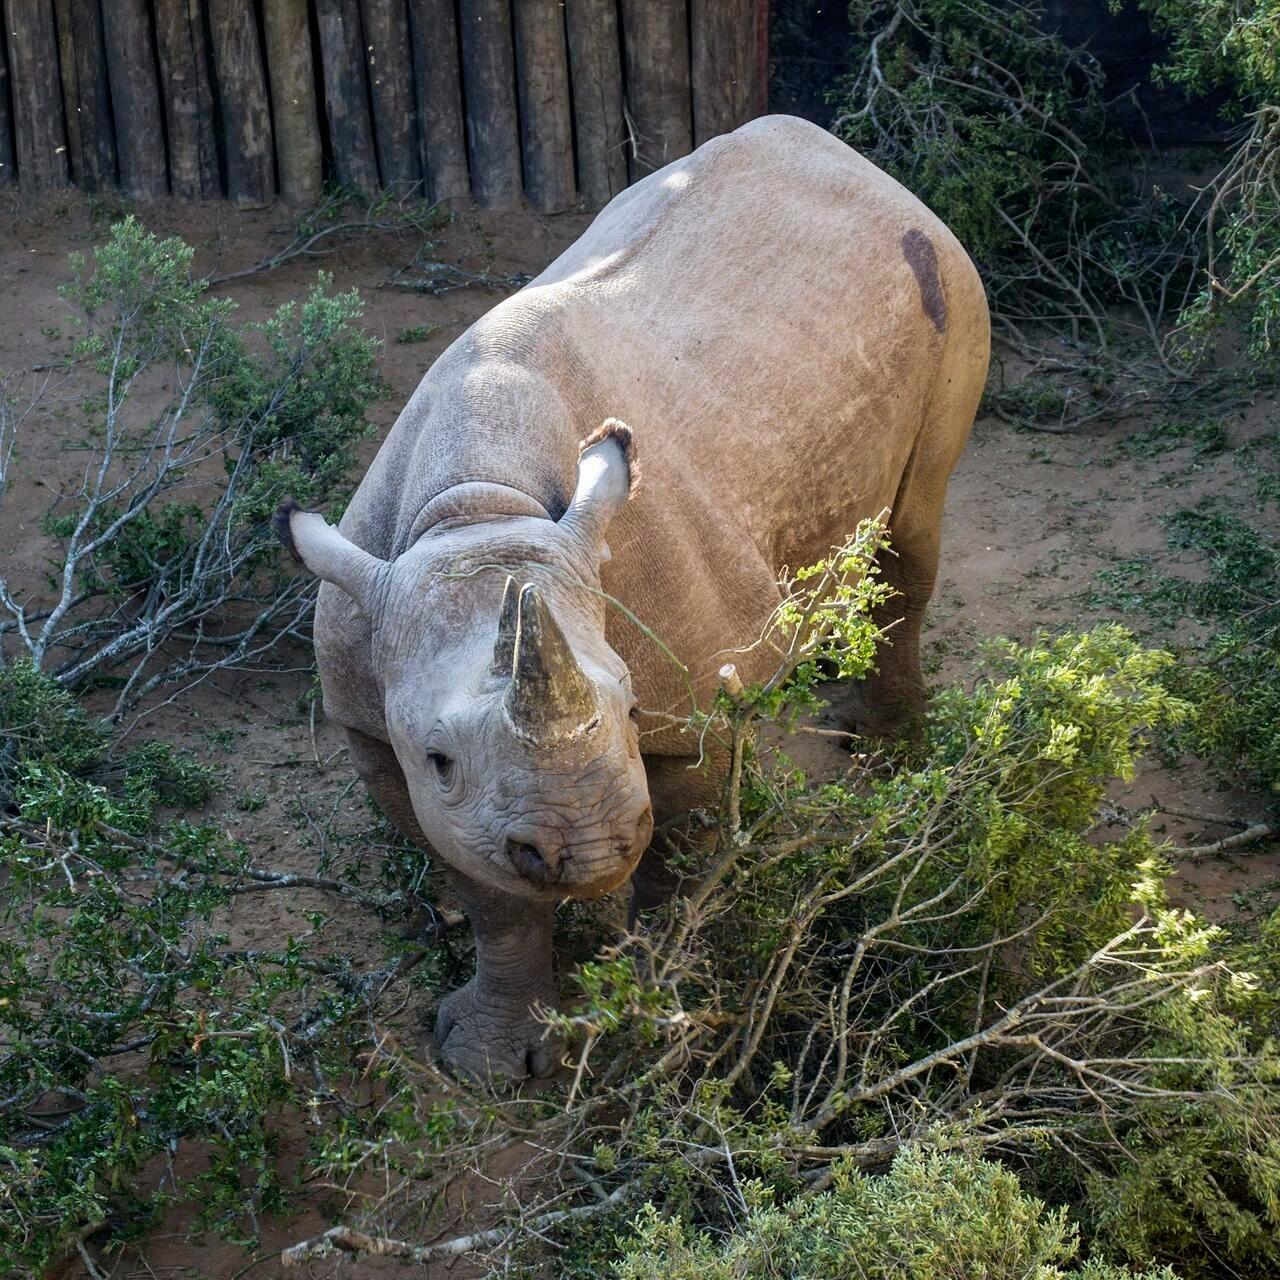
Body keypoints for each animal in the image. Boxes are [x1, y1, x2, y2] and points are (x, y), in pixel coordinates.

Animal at [275, 115, 989, 1080]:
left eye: (633, 710)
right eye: (438, 757)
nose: (589, 846)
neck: (476, 507)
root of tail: (854, 160)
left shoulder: (694, 713)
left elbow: (678, 867)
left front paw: (658, 1030)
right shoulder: (370, 723)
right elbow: (492, 894)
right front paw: (487, 1062)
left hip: (947, 277)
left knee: (914, 528)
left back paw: (884, 756)